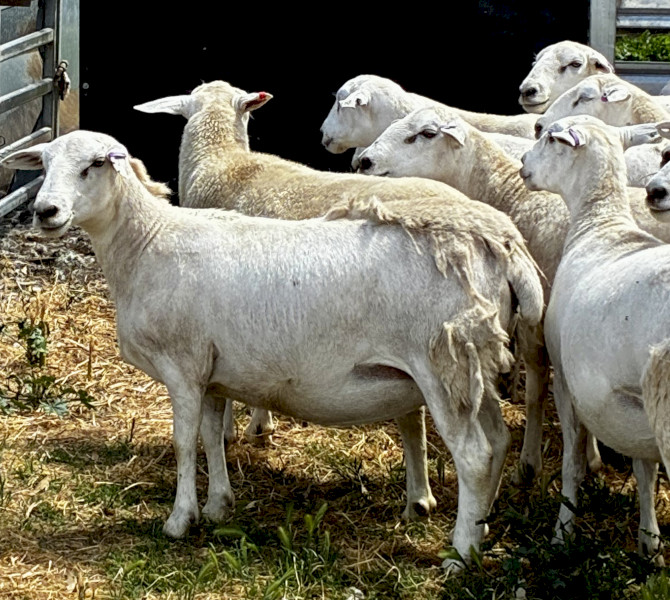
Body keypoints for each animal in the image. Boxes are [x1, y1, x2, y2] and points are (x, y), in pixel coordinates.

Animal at [0, 129, 544, 572]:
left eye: (94, 164)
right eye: (43, 163)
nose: (45, 212)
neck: (146, 243)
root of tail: (504, 247)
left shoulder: (182, 366)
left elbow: (184, 442)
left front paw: (180, 519)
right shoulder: (212, 370)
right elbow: (212, 436)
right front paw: (218, 505)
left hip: (443, 361)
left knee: (474, 455)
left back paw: (460, 554)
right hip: (474, 364)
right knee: (498, 441)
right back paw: (483, 526)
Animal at [355, 107, 670, 480]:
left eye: (427, 134)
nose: (364, 161)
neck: (512, 196)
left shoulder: (537, 320)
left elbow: (536, 389)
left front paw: (530, 462)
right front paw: (592, 457)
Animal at [519, 115, 670, 565]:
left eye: (551, 139)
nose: (522, 163)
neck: (600, 226)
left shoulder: (566, 383)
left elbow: (572, 463)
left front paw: (562, 532)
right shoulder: (631, 410)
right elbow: (643, 471)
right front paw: (649, 543)